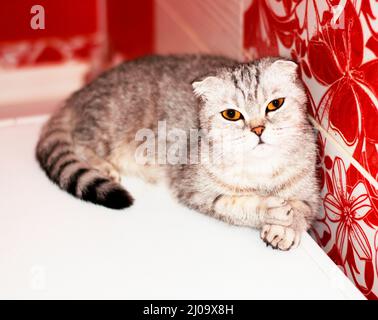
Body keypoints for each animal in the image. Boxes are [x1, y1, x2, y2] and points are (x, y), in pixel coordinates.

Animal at [36, 54, 318, 250]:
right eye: (231, 114)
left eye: (275, 104)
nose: (258, 129)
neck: (261, 172)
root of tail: (80, 92)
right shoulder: (195, 191)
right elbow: (237, 205)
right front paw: (272, 210)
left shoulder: (311, 194)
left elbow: (303, 209)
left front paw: (285, 228)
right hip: (108, 124)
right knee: (79, 141)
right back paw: (103, 165)